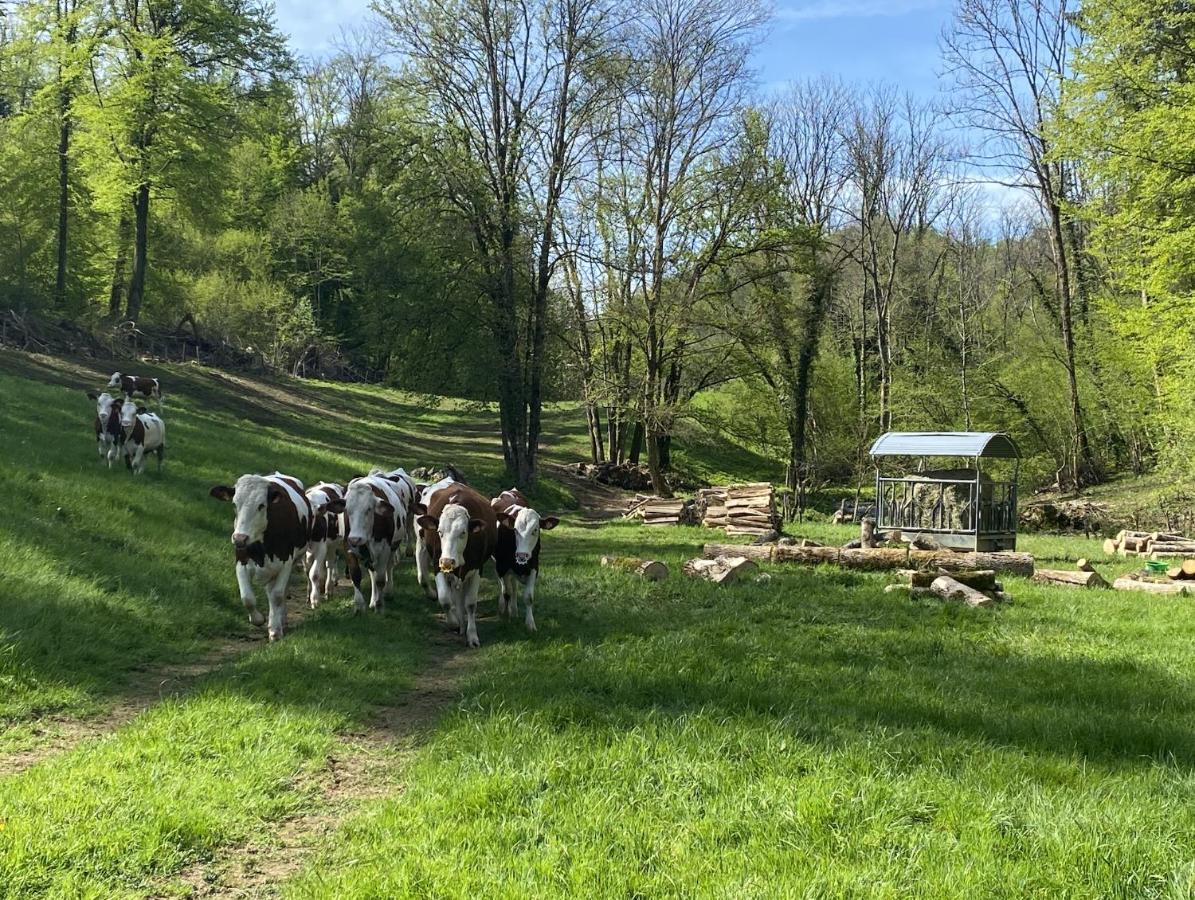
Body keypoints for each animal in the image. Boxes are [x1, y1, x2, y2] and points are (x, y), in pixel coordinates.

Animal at [210, 470, 313, 640]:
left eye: (261, 505)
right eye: (234, 504)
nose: (240, 538)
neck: (262, 547)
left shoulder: (286, 562)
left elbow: (277, 595)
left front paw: (275, 630)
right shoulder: (241, 562)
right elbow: (247, 598)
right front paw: (258, 619)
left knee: (279, 593)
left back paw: (281, 620)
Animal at [327, 470, 411, 611]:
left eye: (369, 509)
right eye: (347, 510)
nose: (356, 538)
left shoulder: (385, 548)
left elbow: (380, 579)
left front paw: (379, 605)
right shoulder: (349, 546)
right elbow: (356, 575)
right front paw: (359, 605)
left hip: (393, 547)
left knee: (388, 567)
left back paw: (387, 593)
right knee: (373, 572)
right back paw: (372, 600)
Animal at [418, 485, 497, 645]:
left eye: (463, 532)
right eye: (439, 531)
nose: (448, 561)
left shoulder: (477, 569)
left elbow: (470, 604)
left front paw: (472, 635)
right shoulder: (437, 566)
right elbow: (445, 599)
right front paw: (453, 623)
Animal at [489, 487, 554, 626]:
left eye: (535, 530)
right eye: (515, 530)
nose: (522, 555)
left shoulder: (534, 567)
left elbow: (528, 597)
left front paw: (530, 624)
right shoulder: (502, 567)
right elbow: (506, 592)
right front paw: (506, 617)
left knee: (514, 586)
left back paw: (514, 610)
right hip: (496, 564)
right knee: (503, 586)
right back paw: (503, 607)